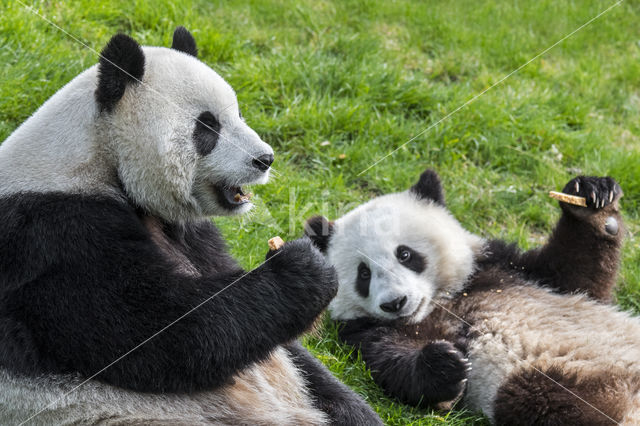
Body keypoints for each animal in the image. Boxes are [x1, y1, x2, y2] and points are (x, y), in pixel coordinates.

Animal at [0, 28, 380, 424]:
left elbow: (283, 347)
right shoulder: (53, 235)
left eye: (238, 113)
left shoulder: (191, 234)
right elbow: (162, 335)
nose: (265, 158)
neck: (98, 155)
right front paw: (304, 267)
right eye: (208, 126)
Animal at [306, 169, 640, 422]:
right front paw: (444, 366)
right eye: (364, 274)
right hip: (557, 386)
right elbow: (391, 362)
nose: (395, 303)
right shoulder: (367, 330)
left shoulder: (510, 269)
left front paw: (592, 199)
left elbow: (579, 276)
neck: (445, 303)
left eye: (405, 254)